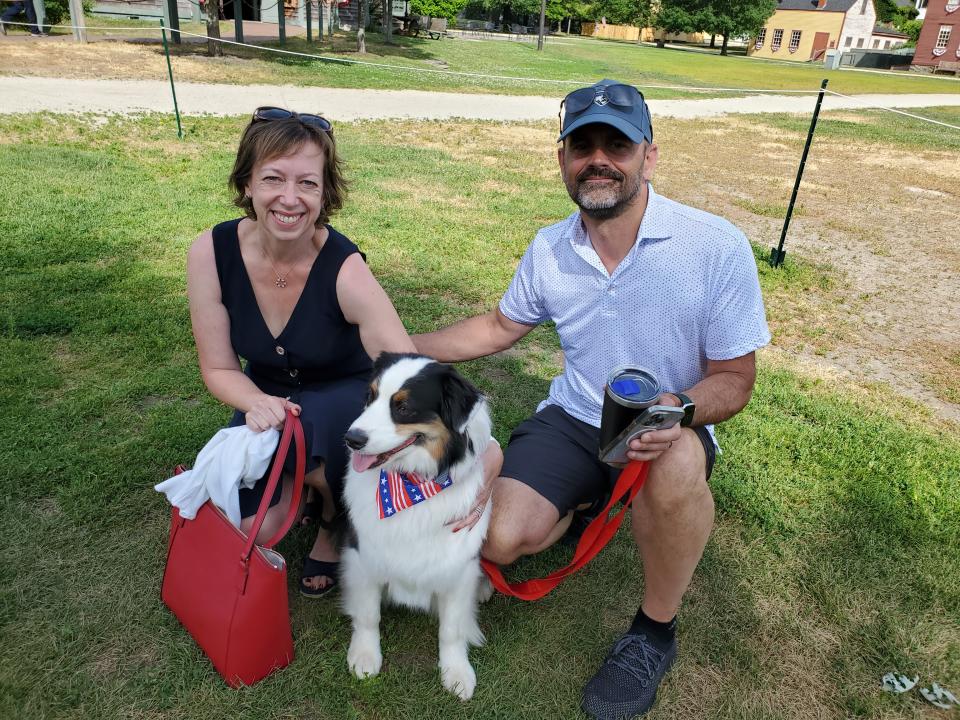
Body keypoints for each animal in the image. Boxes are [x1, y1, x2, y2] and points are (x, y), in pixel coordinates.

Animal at [342, 352, 496, 700]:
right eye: (370, 396)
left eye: (403, 407)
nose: (351, 439)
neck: (413, 485)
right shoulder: (363, 555)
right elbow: (368, 613)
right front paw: (365, 656)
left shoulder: (458, 567)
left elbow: (452, 629)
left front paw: (456, 672)